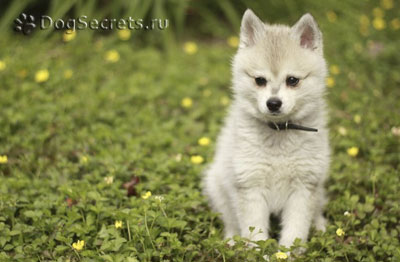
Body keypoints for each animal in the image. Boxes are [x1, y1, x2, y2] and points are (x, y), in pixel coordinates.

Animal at [205, 9, 330, 248]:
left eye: (293, 80)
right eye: (260, 80)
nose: (273, 103)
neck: (279, 133)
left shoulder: (304, 187)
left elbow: (295, 231)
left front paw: (288, 253)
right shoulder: (249, 187)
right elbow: (254, 234)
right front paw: (257, 251)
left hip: (318, 188)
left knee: (318, 210)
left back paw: (321, 227)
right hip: (218, 186)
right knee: (230, 220)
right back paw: (231, 240)